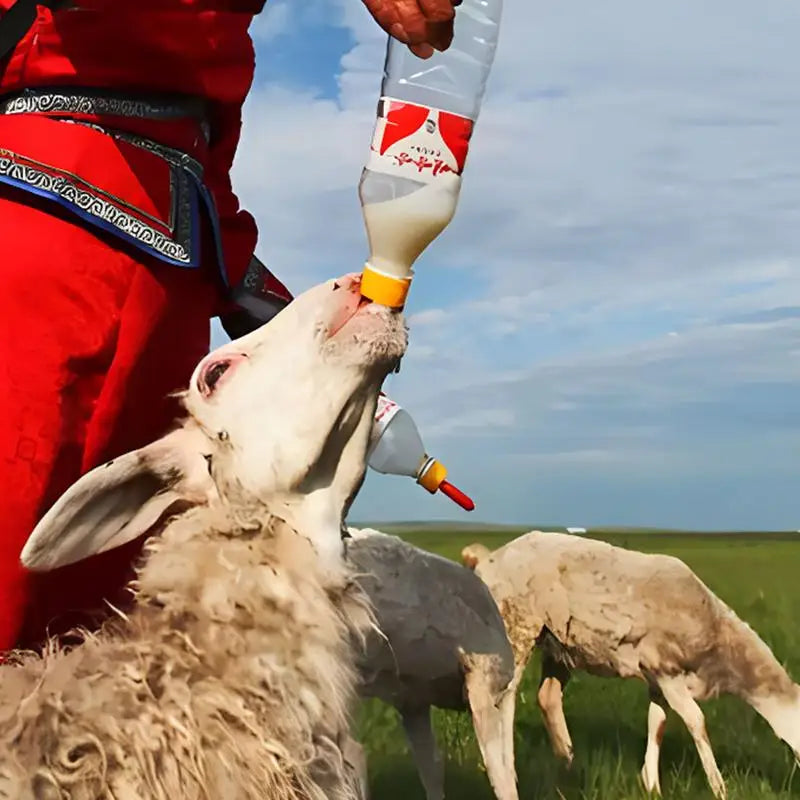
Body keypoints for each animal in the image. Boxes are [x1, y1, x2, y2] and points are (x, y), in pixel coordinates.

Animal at [461, 531, 800, 799]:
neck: (720, 645)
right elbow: (697, 721)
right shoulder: (666, 668)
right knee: (502, 698)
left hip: (558, 642)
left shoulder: (658, 680)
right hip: (517, 625)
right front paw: (719, 787)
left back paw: (567, 762)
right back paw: (504, 769)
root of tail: (488, 559)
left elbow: (657, 723)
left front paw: (651, 785)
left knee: (547, 697)